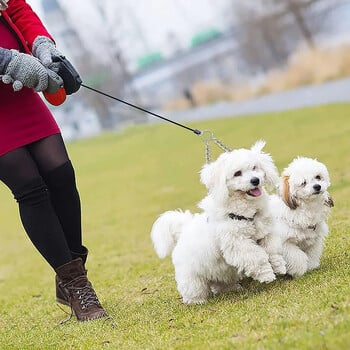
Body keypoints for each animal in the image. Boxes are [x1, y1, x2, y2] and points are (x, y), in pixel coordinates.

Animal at [150, 140, 284, 304]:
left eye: (254, 167)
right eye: (237, 173)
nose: (255, 180)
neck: (246, 213)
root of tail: (183, 232)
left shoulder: (265, 232)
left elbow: (272, 249)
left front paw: (279, 265)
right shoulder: (238, 243)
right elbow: (256, 257)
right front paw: (266, 275)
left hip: (220, 271)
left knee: (222, 282)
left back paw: (232, 288)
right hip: (192, 278)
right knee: (195, 288)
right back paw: (197, 301)